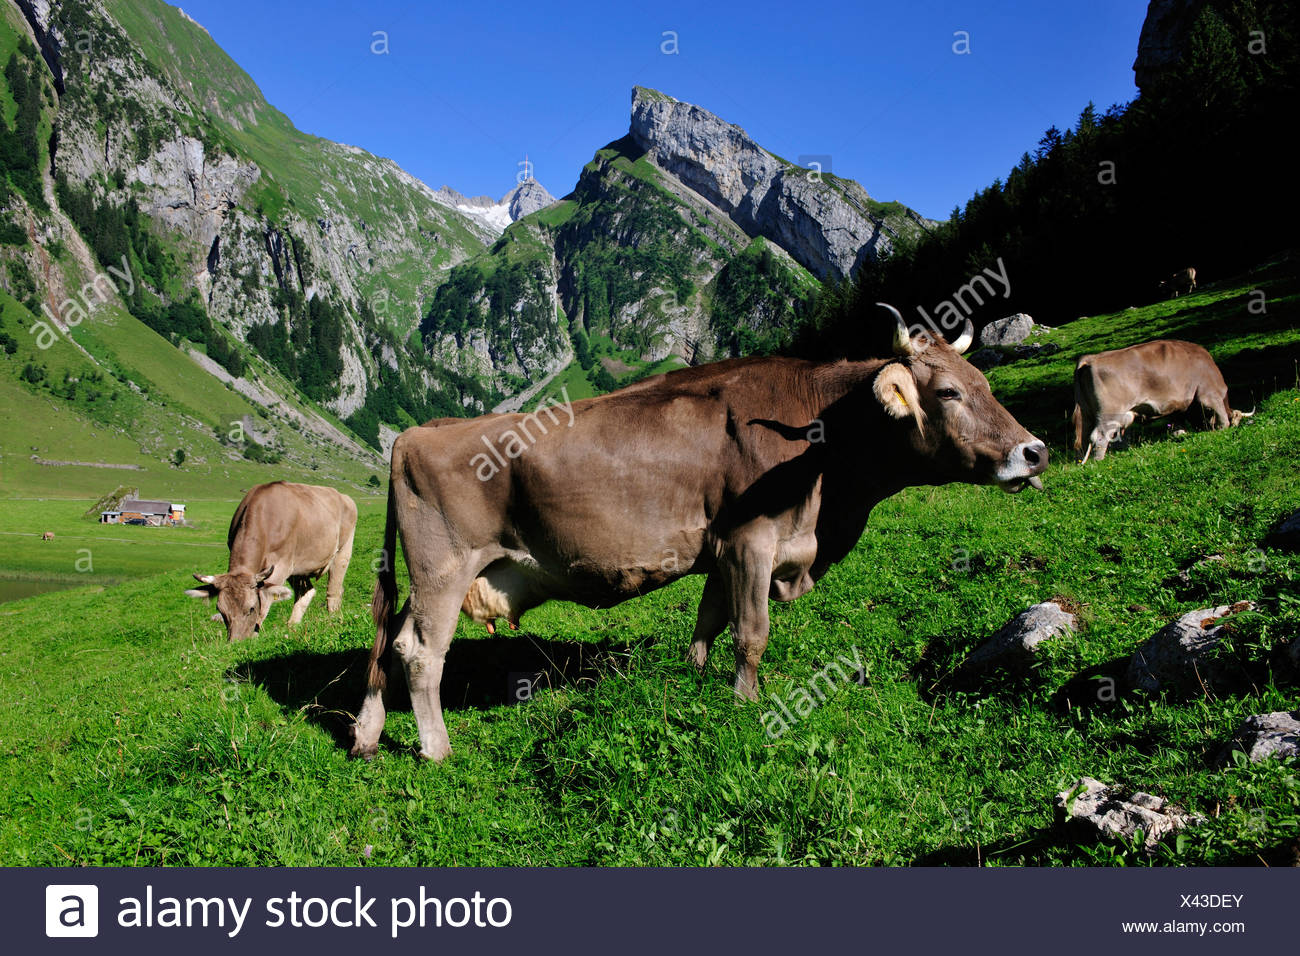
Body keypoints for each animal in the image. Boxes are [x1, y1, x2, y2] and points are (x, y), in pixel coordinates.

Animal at [185, 481, 357, 640]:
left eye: (251, 608)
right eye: (221, 610)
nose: (236, 643)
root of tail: (344, 497)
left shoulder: (280, 566)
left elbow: (264, 603)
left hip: (343, 551)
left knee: (334, 590)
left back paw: (332, 619)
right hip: (298, 568)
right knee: (306, 591)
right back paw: (292, 626)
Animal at [349, 305, 1048, 762]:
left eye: (986, 384)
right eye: (950, 392)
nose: (1035, 451)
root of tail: (418, 433)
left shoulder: (722, 551)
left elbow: (709, 622)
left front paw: (694, 678)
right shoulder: (752, 540)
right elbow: (751, 632)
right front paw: (746, 702)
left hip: (432, 575)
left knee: (389, 642)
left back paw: (366, 735)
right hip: (444, 568)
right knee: (420, 652)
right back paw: (436, 749)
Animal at [1071, 339, 1250, 462]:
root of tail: (1092, 358)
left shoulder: (1178, 407)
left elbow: (1177, 422)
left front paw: (1180, 434)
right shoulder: (1209, 394)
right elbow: (1221, 415)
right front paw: (1223, 428)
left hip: (1087, 414)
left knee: (1086, 438)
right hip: (1110, 414)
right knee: (1100, 436)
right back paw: (1099, 460)